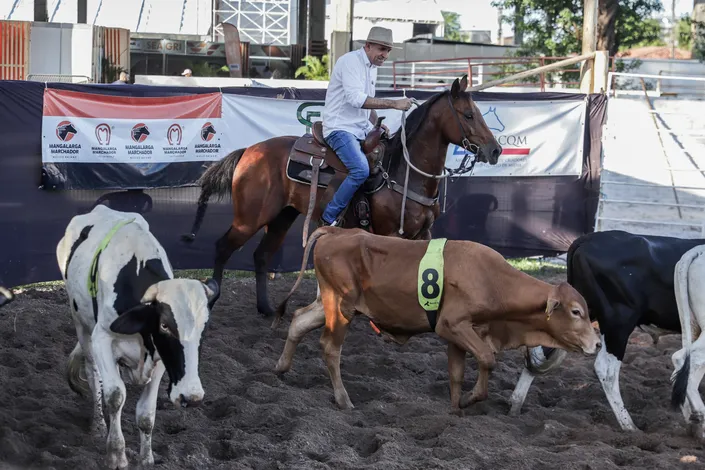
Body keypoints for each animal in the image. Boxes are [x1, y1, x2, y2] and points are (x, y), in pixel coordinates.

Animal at [56, 206, 217, 470]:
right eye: (164, 325)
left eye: (205, 326)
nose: (191, 397)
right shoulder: (102, 339)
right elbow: (115, 396)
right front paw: (116, 455)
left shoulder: (160, 357)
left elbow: (146, 413)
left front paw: (146, 458)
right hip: (81, 324)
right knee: (93, 372)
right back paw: (98, 425)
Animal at [182, 74, 500, 316]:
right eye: (468, 115)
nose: (495, 150)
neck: (402, 170)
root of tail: (249, 151)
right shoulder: (389, 235)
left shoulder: (422, 234)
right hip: (250, 217)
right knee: (223, 247)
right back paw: (212, 300)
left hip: (282, 217)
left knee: (261, 256)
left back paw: (268, 309)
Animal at [272, 226, 604, 410]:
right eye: (576, 311)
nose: (599, 343)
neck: (492, 280)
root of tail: (337, 231)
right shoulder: (452, 325)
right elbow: (487, 359)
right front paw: (470, 399)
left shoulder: (458, 335)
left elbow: (457, 373)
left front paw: (456, 407)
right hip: (340, 307)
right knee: (330, 347)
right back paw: (343, 400)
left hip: (327, 303)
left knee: (299, 320)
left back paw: (281, 368)